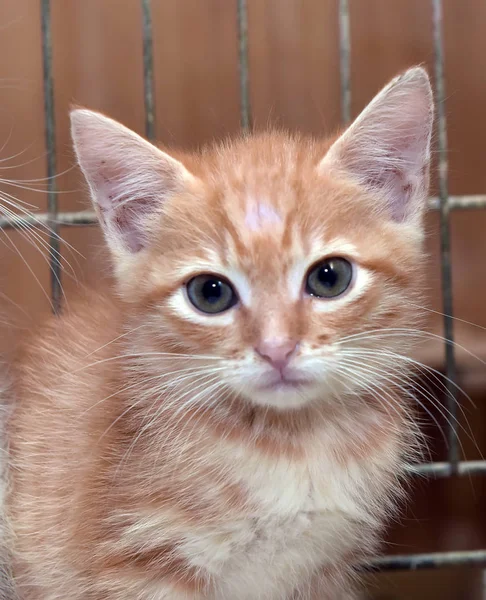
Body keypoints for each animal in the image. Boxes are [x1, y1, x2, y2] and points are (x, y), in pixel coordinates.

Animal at [4, 68, 432, 596]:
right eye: (210, 293)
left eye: (330, 277)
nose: (276, 349)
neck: (293, 446)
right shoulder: (138, 566)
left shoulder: (326, 569)